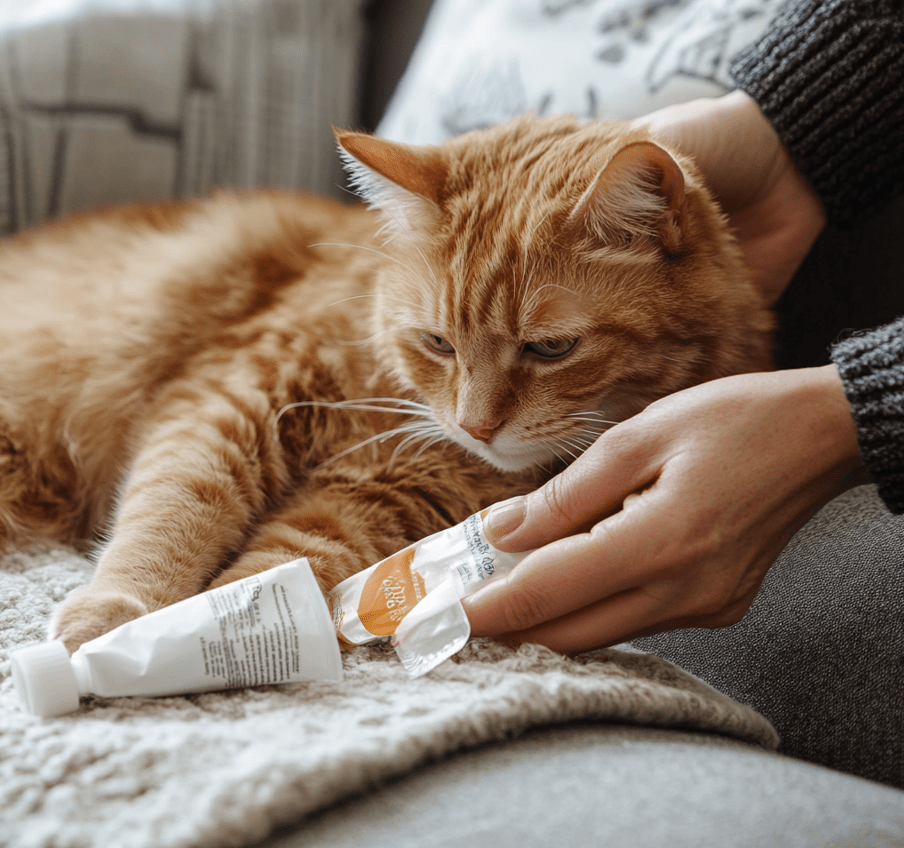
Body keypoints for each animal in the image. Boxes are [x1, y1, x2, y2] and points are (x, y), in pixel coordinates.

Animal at [0, 116, 772, 652]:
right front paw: (120, 615)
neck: (382, 394)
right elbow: (176, 506)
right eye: (438, 342)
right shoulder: (233, 399)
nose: (476, 426)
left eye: (550, 349)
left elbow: (281, 565)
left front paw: (216, 635)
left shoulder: (372, 502)